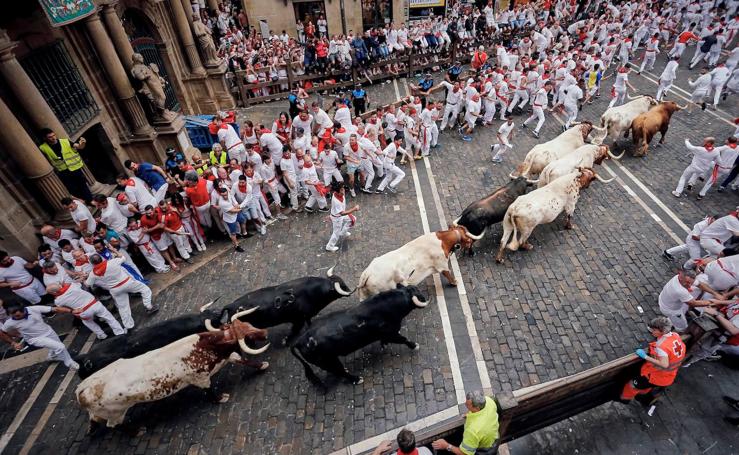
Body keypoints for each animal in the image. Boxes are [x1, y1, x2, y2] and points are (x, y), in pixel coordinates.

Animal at [75, 314, 270, 432]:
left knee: (96, 419)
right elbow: (210, 392)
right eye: (248, 334)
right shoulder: (201, 379)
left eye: (247, 324)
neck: (206, 346)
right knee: (114, 425)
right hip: (116, 413)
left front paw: (262, 365)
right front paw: (221, 398)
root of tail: (81, 390)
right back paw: (138, 431)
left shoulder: (228, 356)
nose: (265, 332)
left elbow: (243, 360)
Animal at [217, 268, 356, 346]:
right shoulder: (298, 320)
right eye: (342, 286)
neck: (311, 292)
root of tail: (230, 306)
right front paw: (286, 341)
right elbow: (295, 330)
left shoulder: (305, 317)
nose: (350, 291)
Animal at [290, 284, 428, 388]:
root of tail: (300, 339)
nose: (425, 298)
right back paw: (356, 379)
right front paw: (414, 345)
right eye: (418, 293)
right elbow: (403, 339)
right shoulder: (391, 333)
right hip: (327, 361)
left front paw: (384, 344)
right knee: (339, 372)